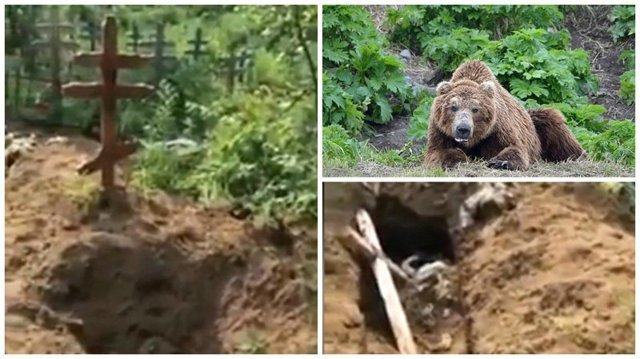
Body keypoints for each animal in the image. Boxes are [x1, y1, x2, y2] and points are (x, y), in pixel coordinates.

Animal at [424, 60, 584, 170]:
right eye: (453, 107)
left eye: (475, 109)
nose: (463, 129)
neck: (474, 140)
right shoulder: (440, 130)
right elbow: (438, 151)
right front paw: (456, 160)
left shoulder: (496, 129)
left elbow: (513, 147)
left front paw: (500, 162)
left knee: (553, 123)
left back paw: (578, 156)